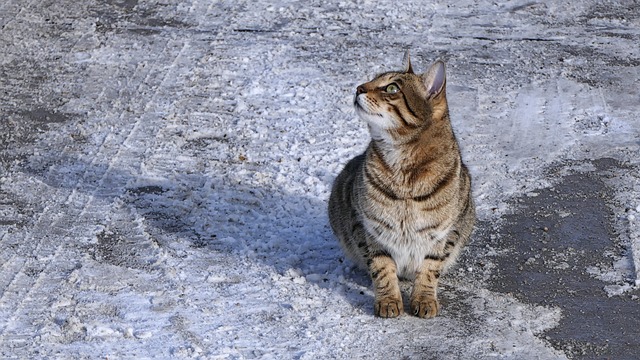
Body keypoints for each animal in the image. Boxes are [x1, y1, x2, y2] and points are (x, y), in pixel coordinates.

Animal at [330, 51, 476, 318]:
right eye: (372, 79)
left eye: (391, 88)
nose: (358, 88)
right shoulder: (369, 227)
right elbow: (382, 267)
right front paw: (388, 300)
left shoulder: (443, 233)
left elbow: (430, 268)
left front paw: (424, 299)